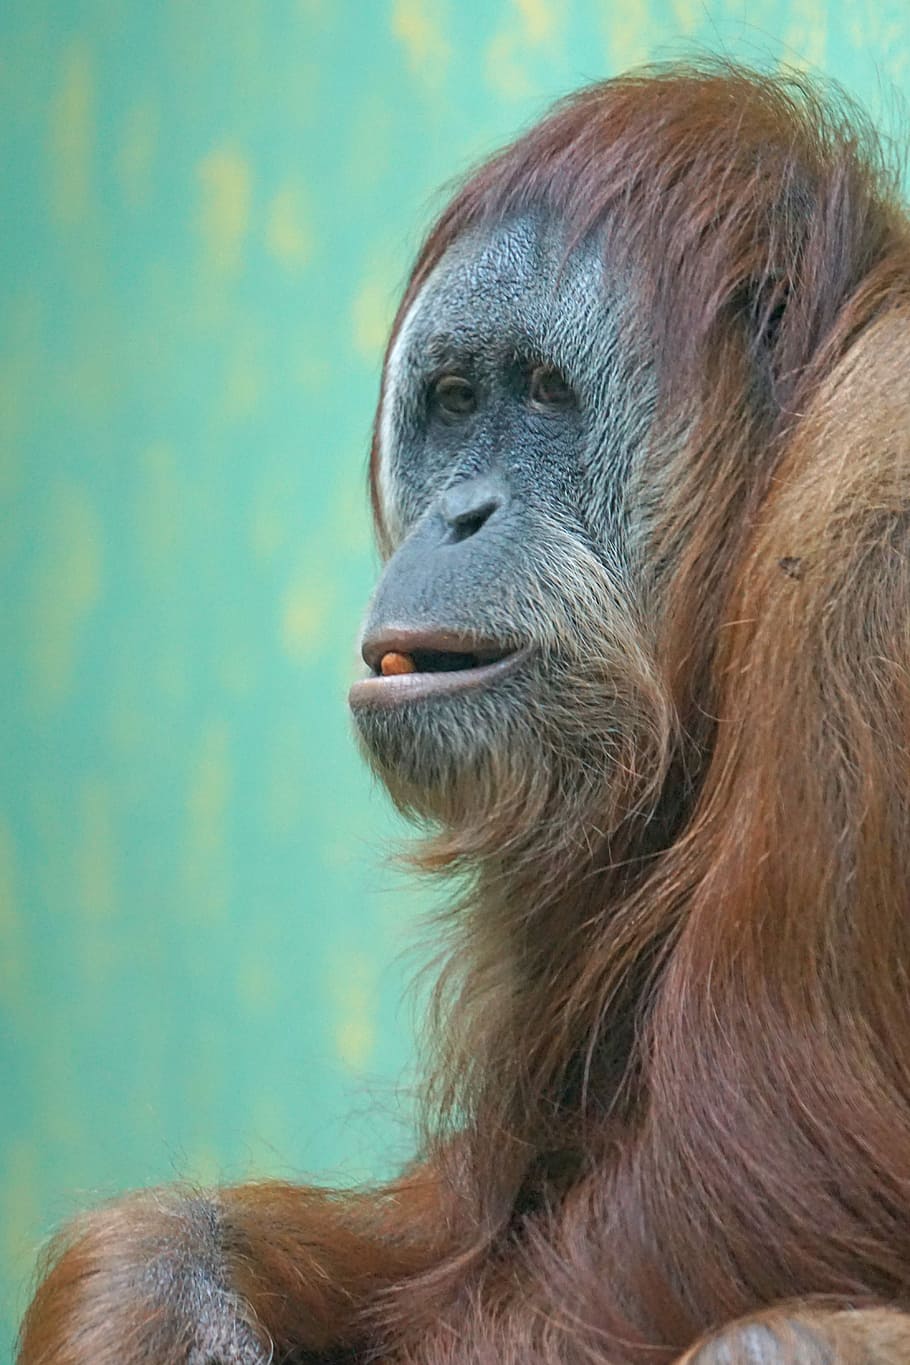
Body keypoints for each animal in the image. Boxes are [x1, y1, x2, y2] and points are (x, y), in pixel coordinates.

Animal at [16, 62, 910, 1365]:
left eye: (541, 395)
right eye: (452, 399)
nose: (458, 515)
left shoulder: (866, 527)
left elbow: (748, 1194)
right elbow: (475, 1205)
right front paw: (161, 1280)